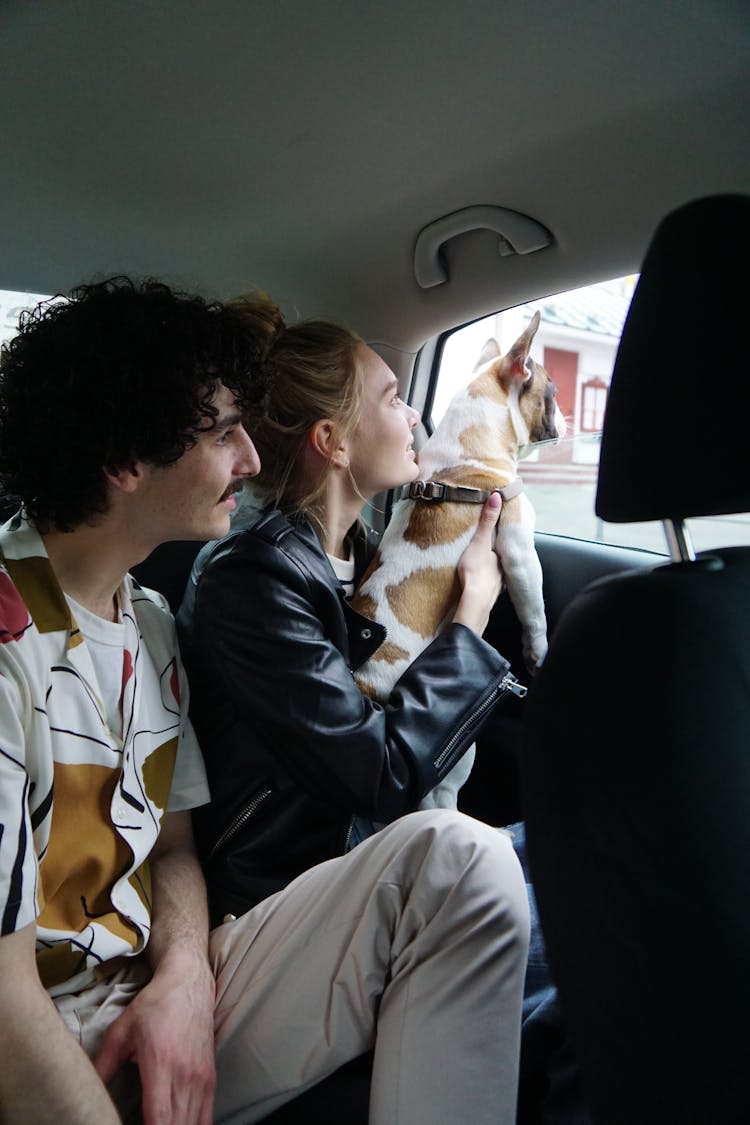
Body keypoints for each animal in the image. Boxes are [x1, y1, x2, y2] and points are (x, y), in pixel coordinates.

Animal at [355, 310, 566, 810]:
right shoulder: (518, 548)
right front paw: (539, 653)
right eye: (551, 391)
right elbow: (535, 610)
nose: (567, 416)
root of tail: (367, 686)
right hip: (456, 757)